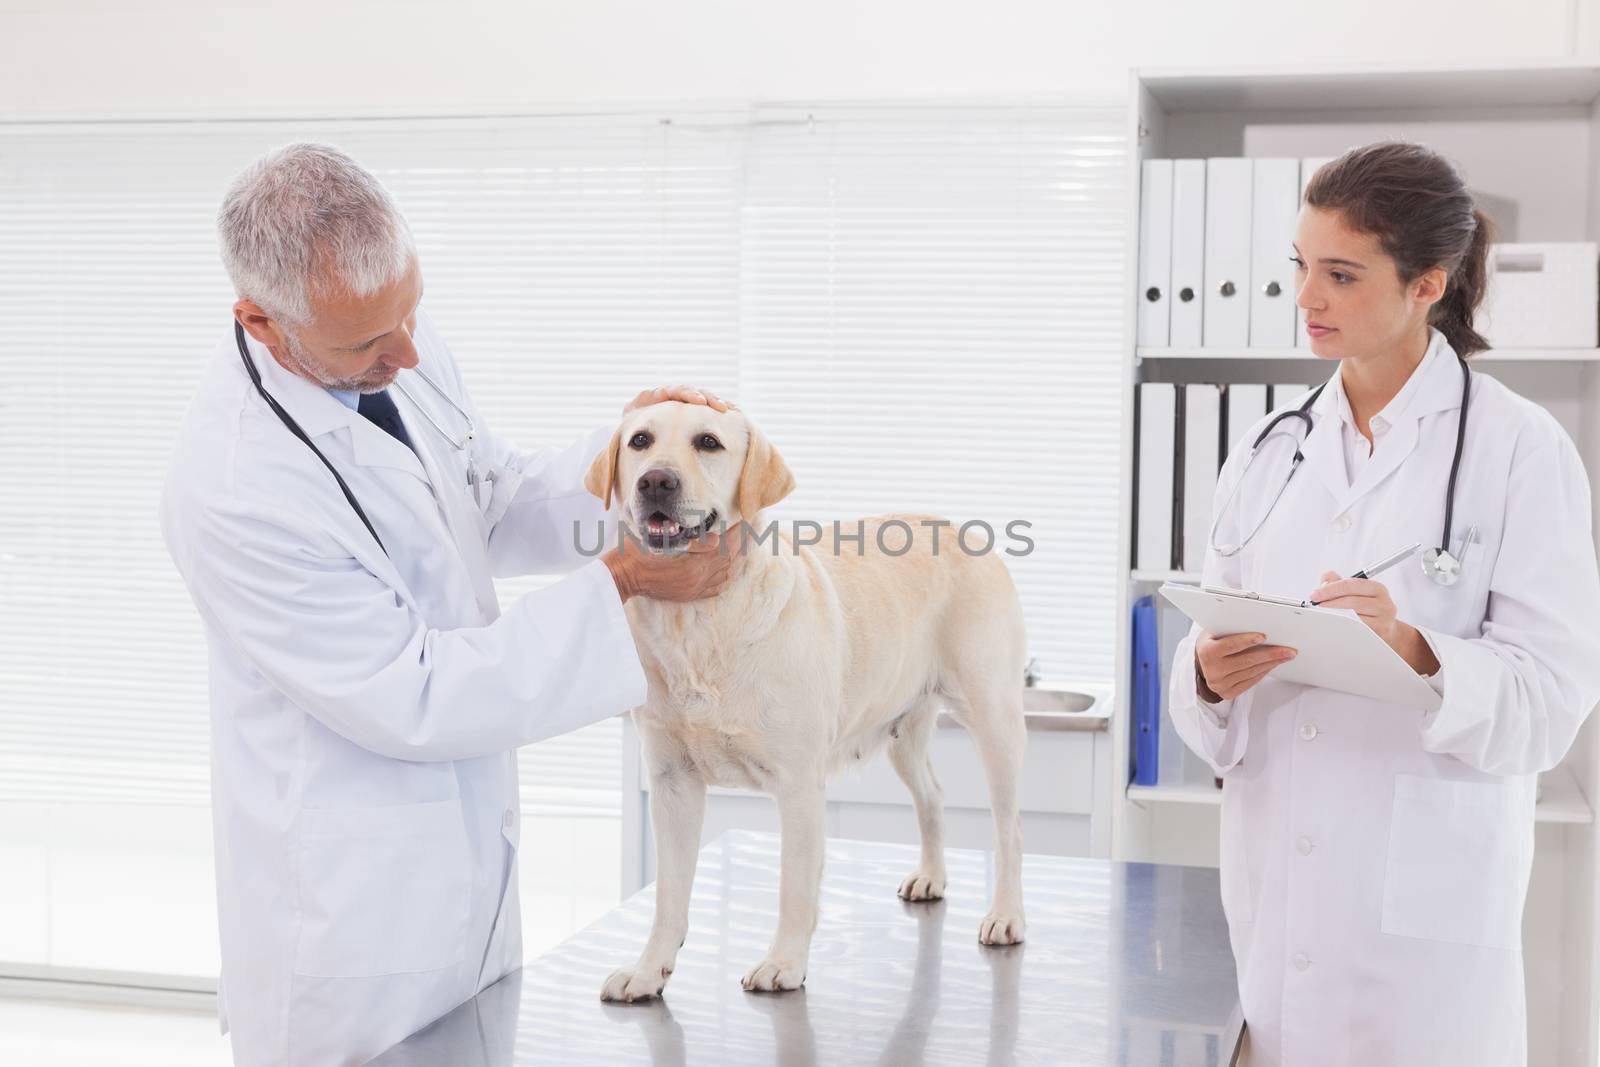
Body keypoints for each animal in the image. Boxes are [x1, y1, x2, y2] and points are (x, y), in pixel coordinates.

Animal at [585, 403, 1024, 1004]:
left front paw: (784, 963)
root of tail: (960, 529)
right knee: (932, 796)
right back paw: (931, 876)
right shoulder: (672, 783)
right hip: (902, 731)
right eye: (640, 441)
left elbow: (793, 887)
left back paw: (1006, 915)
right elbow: (668, 897)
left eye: (708, 442)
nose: (656, 480)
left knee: (1009, 829)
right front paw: (649, 970)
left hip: (995, 721)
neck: (698, 622)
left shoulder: (796, 785)